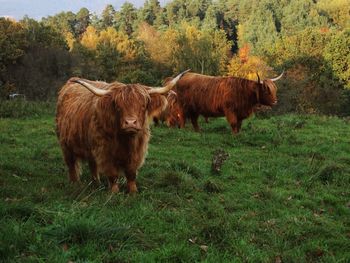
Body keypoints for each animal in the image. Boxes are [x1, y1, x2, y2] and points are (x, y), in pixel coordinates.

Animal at [56, 70, 190, 194]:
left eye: (143, 105)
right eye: (118, 106)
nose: (130, 123)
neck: (126, 140)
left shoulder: (137, 151)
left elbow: (131, 173)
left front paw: (133, 192)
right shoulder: (105, 152)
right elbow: (112, 174)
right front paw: (114, 193)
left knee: (92, 164)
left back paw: (96, 183)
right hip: (65, 145)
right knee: (71, 165)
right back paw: (74, 183)